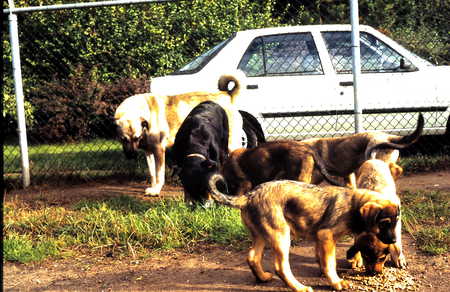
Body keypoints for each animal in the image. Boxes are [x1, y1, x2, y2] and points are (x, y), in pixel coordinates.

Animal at [114, 73, 244, 196]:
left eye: (136, 138)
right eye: (123, 139)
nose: (131, 156)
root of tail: (227, 95)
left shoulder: (158, 150)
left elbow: (159, 174)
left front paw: (156, 190)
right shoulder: (149, 152)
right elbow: (152, 173)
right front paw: (153, 188)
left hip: (231, 145)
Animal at [209, 176, 400, 292]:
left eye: (396, 222)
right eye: (384, 223)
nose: (394, 240)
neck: (354, 205)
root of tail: (249, 195)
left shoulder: (319, 237)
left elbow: (322, 259)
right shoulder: (326, 235)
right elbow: (330, 263)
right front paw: (336, 282)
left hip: (261, 234)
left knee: (252, 257)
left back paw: (262, 277)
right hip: (281, 234)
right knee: (281, 267)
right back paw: (299, 287)